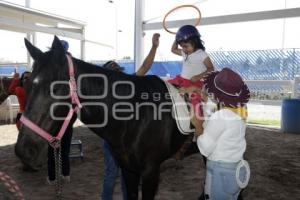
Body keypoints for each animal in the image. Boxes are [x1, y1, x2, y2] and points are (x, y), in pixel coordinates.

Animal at [15, 36, 200, 199]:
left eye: (54, 88)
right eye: (27, 85)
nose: (24, 150)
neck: (137, 115)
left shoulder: (151, 172)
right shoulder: (129, 169)